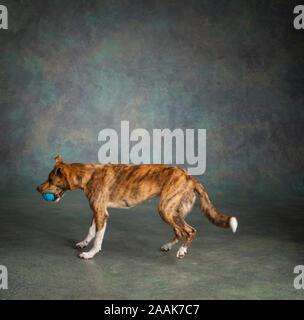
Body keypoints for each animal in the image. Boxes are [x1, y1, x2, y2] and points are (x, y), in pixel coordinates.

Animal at [37, 155, 238, 260]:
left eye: (51, 180)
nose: (37, 188)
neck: (89, 174)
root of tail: (189, 177)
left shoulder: (101, 213)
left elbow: (98, 238)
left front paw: (90, 253)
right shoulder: (97, 212)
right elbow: (91, 231)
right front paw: (83, 243)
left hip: (165, 209)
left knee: (190, 230)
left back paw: (182, 251)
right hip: (172, 211)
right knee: (180, 231)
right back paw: (168, 246)